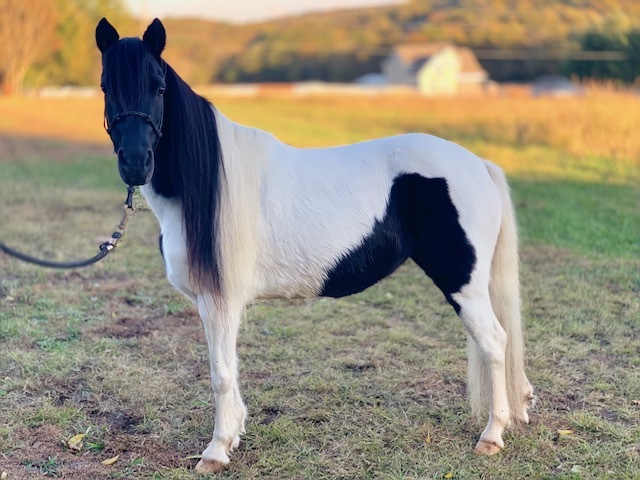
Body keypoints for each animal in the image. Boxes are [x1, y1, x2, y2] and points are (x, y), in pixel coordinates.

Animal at [96, 17, 536, 472]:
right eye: (106, 86)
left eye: (159, 86)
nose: (135, 163)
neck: (203, 187)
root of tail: (477, 164)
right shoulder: (215, 301)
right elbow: (230, 368)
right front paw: (233, 435)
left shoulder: (220, 299)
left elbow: (220, 373)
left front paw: (216, 451)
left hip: (462, 283)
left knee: (495, 343)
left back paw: (492, 435)